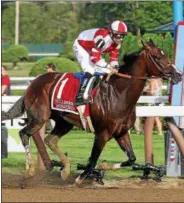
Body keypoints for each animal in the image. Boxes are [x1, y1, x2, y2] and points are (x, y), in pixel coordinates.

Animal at [2, 39, 182, 184]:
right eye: (157, 57)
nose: (178, 75)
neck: (118, 94)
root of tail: (33, 83)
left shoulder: (121, 132)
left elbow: (131, 159)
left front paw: (103, 166)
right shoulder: (102, 133)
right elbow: (92, 160)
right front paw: (80, 179)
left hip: (64, 122)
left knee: (50, 140)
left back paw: (65, 170)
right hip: (39, 117)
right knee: (24, 133)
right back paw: (31, 170)